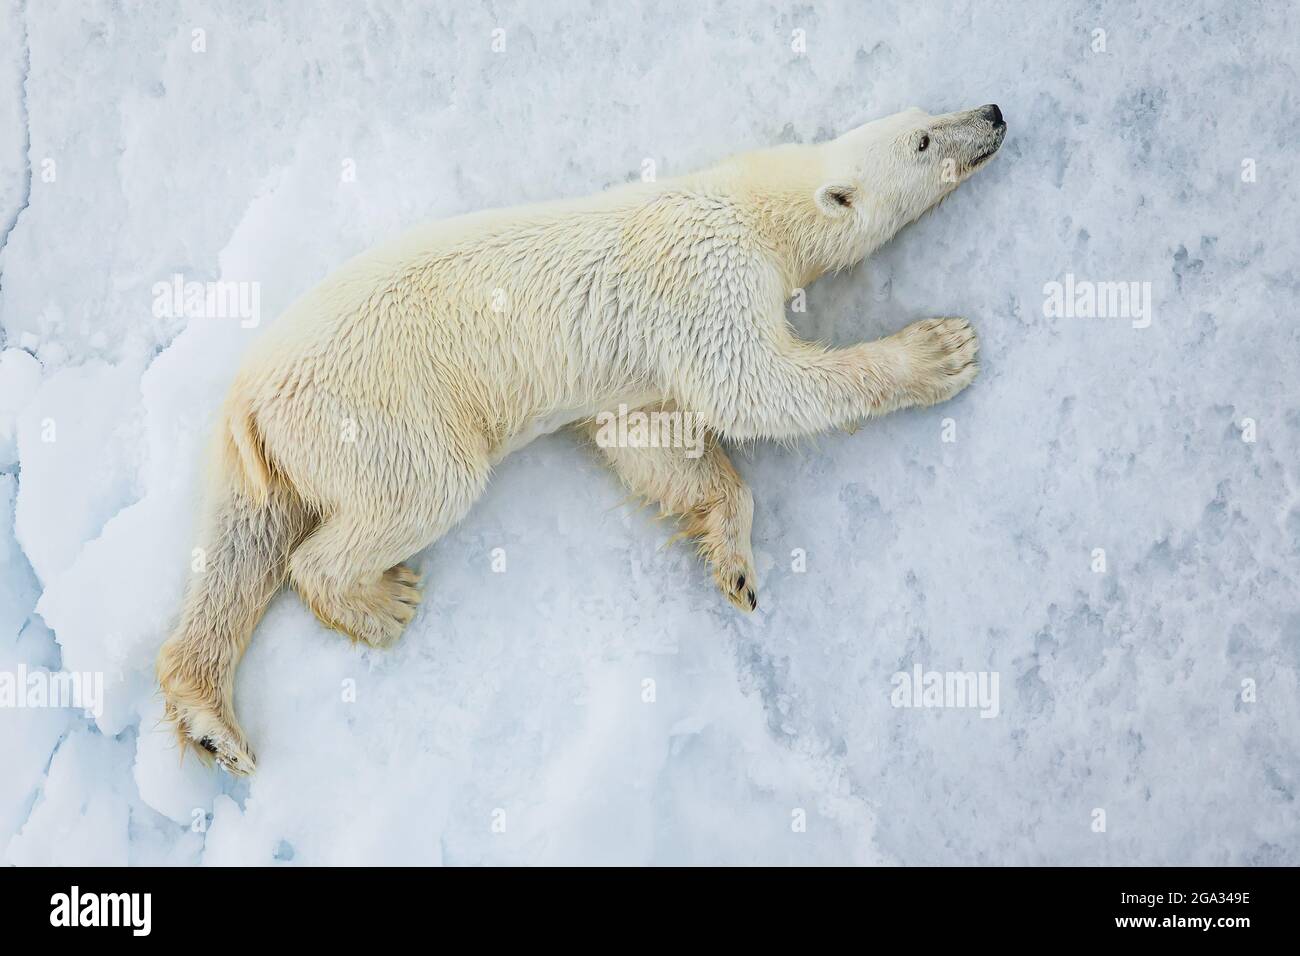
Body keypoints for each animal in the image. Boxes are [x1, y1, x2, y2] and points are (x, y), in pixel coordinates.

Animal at [159, 104, 1003, 775]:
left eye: (927, 112)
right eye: (923, 139)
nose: (993, 113)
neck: (753, 205)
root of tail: (252, 401)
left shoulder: (641, 370)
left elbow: (647, 436)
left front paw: (729, 557)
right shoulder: (707, 279)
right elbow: (753, 389)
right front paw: (941, 351)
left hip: (269, 449)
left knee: (240, 544)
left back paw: (208, 719)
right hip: (376, 410)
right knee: (412, 494)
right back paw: (381, 602)